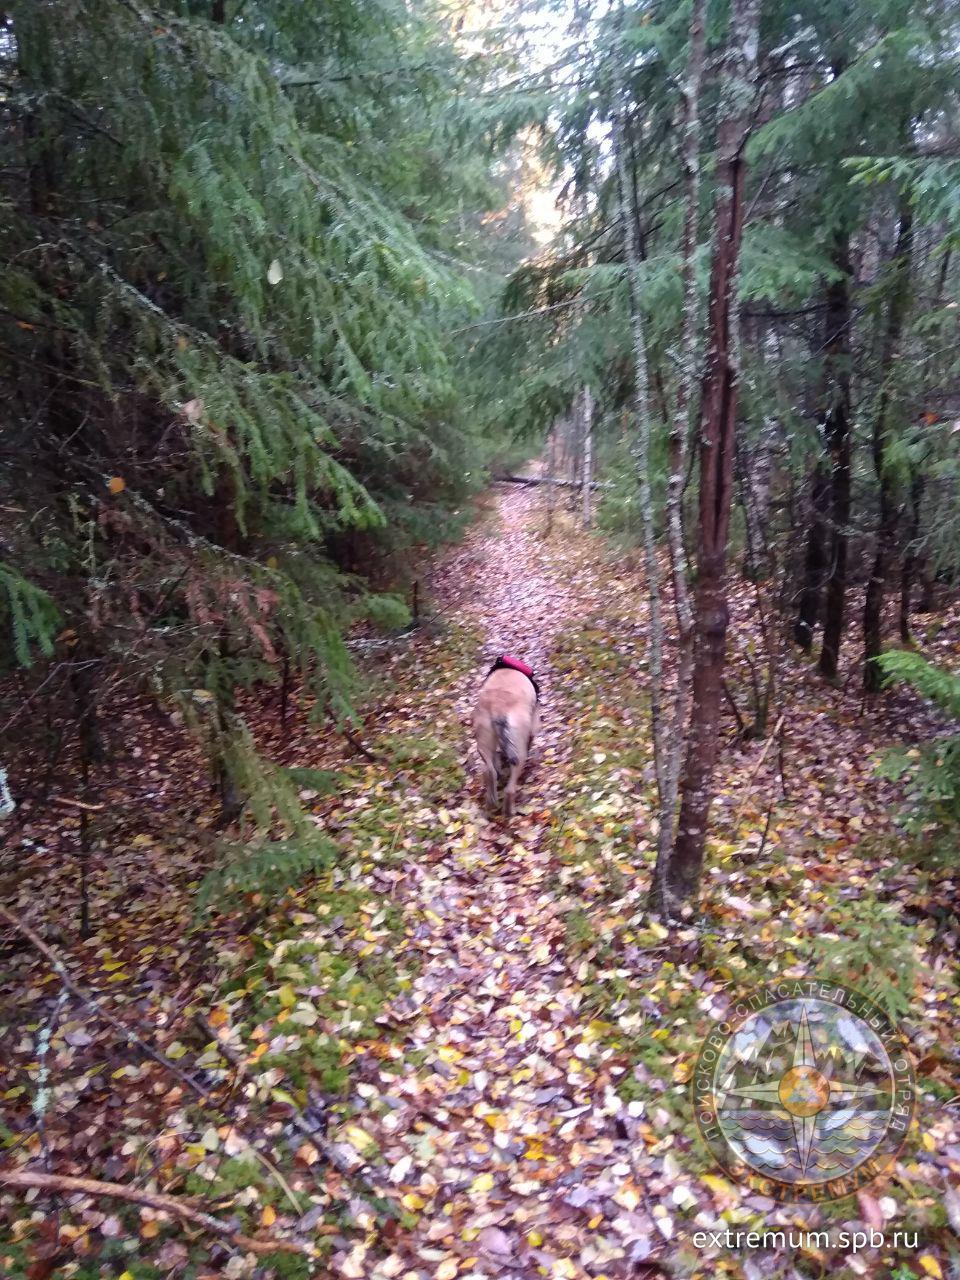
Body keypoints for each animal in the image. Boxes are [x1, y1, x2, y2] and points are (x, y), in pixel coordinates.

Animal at [476, 655, 542, 814]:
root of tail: (497, 707)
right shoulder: (534, 724)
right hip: (519, 751)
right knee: (510, 789)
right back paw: (510, 811)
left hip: (483, 742)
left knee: (489, 772)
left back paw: (491, 802)